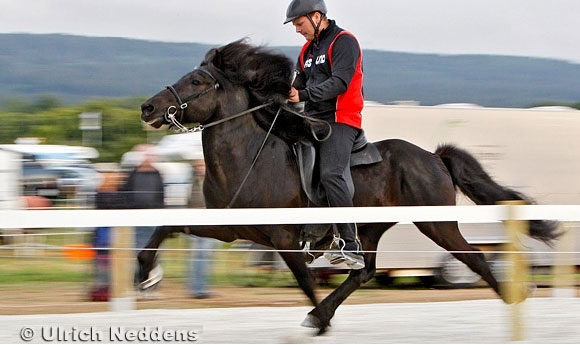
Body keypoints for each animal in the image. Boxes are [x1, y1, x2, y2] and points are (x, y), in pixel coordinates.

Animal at [138, 39, 560, 332]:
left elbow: (304, 279)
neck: (251, 156)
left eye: (196, 81)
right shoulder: (228, 226)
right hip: (370, 229)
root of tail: (433, 157)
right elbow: (167, 225)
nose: (148, 108)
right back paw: (320, 313)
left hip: (437, 224)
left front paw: (321, 323)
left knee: (474, 257)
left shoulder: (283, 238)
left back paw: (515, 297)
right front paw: (144, 273)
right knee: (363, 272)